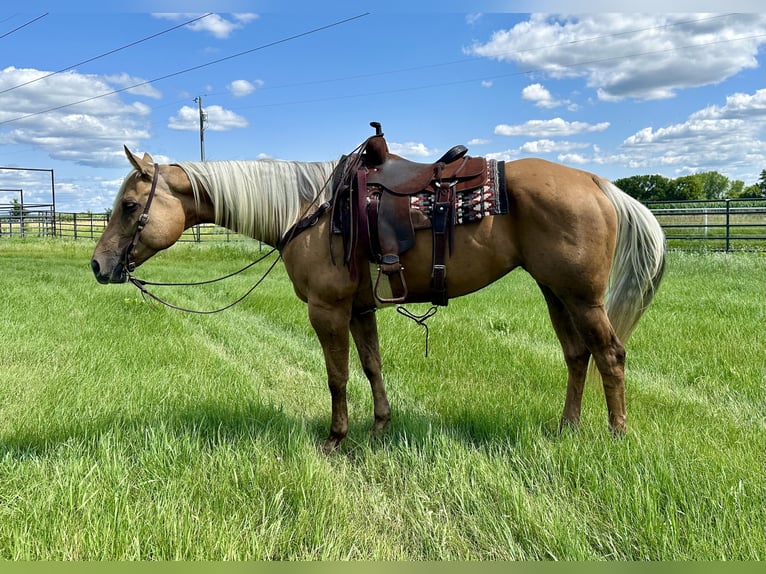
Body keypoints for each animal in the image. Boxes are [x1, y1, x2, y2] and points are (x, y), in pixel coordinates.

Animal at [90, 145, 664, 454]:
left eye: (129, 206)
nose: (98, 265)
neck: (308, 207)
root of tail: (596, 181)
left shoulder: (327, 309)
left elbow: (338, 375)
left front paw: (336, 437)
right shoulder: (361, 308)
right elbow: (372, 367)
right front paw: (381, 428)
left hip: (581, 296)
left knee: (610, 355)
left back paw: (616, 435)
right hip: (555, 292)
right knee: (577, 355)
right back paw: (566, 429)